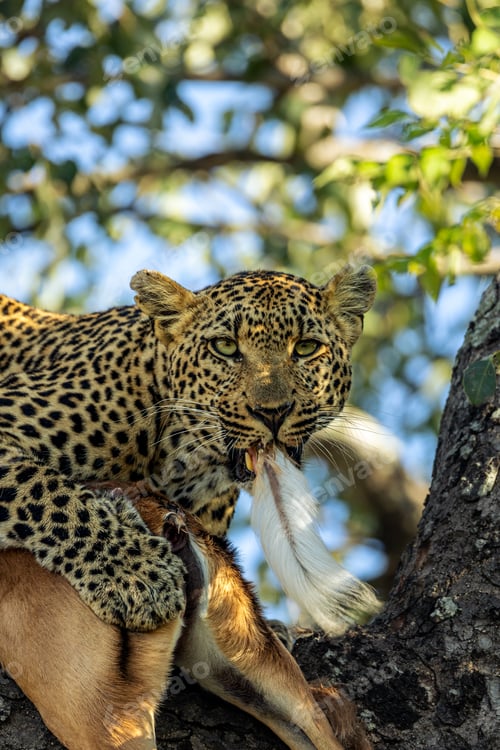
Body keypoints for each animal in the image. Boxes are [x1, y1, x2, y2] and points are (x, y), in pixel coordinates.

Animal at [0, 264, 376, 632]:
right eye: (225, 346)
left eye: (306, 348)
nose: (272, 412)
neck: (187, 460)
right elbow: (51, 494)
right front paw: (137, 574)